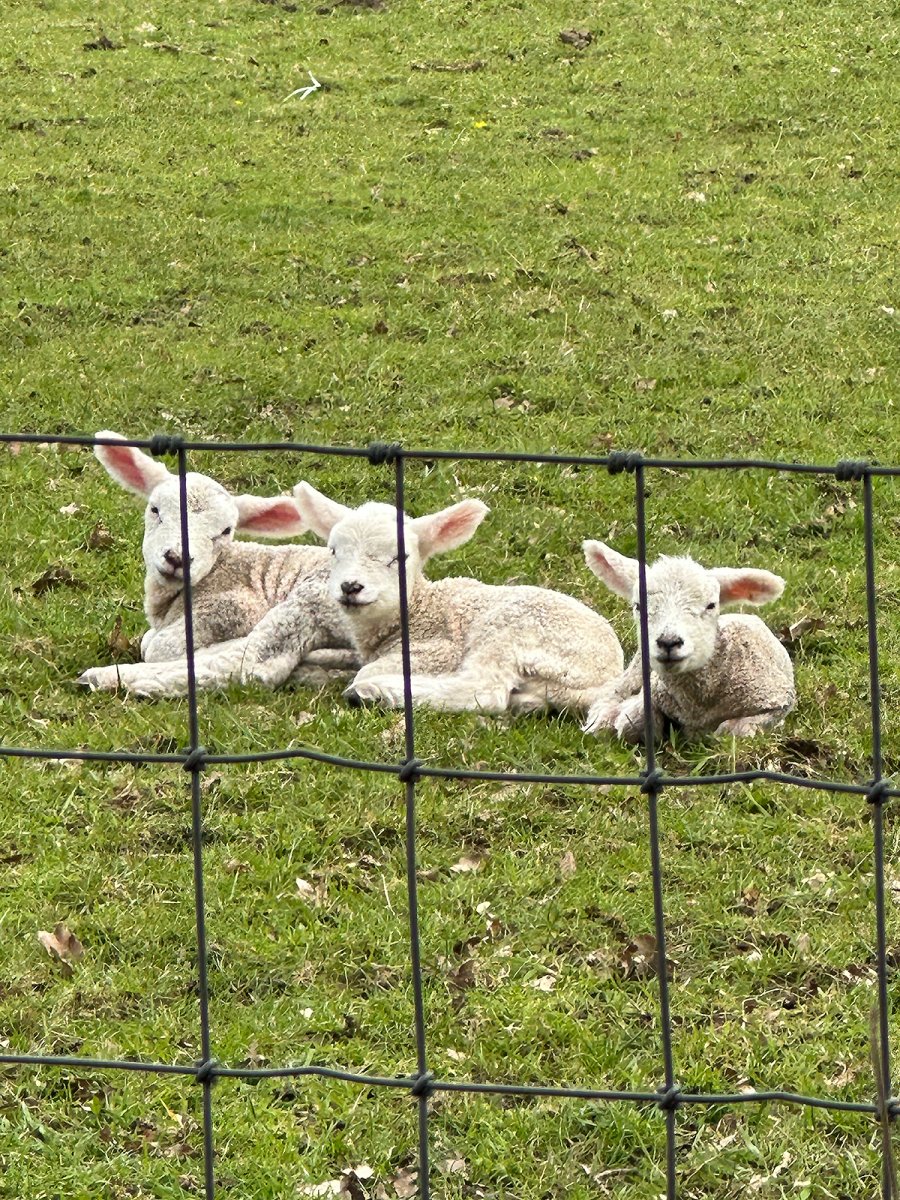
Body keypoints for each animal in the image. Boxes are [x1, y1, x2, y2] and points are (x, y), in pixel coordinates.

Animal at [77, 432, 355, 695]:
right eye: (155, 509)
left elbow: (157, 647)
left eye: (226, 530)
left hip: (315, 599)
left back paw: (108, 678)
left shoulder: (236, 606)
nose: (176, 558)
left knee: (248, 664)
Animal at [273, 483, 625, 714]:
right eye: (334, 551)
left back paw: (375, 693)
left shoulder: (439, 649)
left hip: (513, 632)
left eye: (399, 557)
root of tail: (606, 676)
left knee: (484, 691)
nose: (350, 586)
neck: (418, 608)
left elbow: (367, 670)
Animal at [581, 542, 795, 741]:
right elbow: (634, 720)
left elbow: (732, 730)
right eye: (638, 606)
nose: (668, 642)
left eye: (711, 605)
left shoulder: (779, 701)